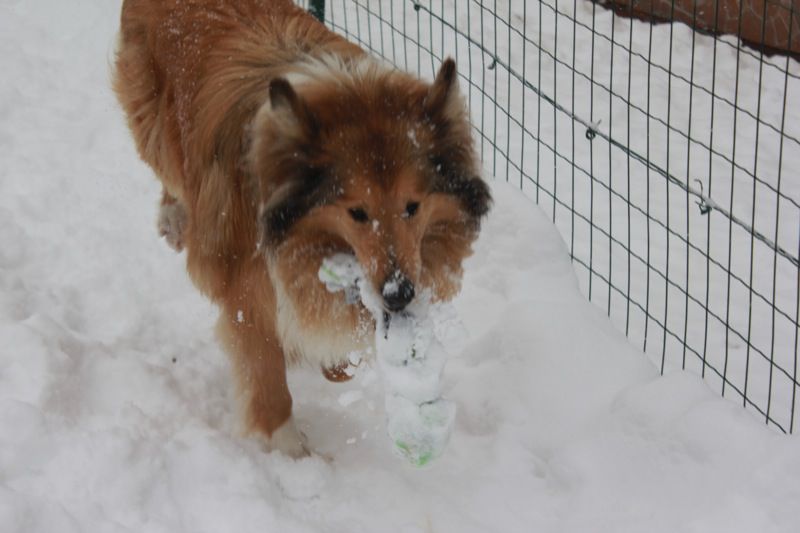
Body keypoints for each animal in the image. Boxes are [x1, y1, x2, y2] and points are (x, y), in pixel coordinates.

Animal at [111, 1, 488, 458]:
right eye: (357, 212)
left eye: (412, 207)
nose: (399, 295)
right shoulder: (247, 289)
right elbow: (267, 373)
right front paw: (292, 451)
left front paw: (328, 361)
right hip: (153, 119)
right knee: (166, 166)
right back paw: (174, 218)